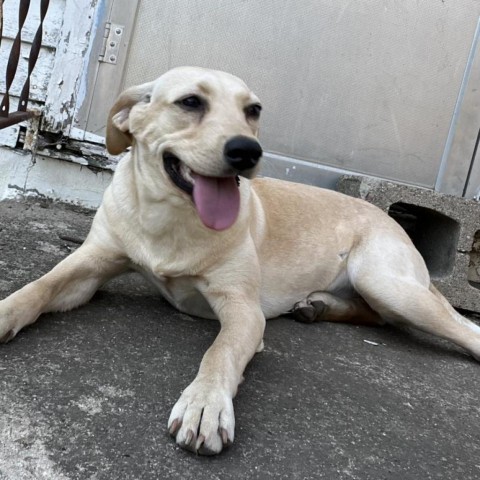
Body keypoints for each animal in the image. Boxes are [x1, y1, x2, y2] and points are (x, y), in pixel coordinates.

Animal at [0, 66, 480, 454]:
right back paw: (319, 305)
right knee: (377, 317)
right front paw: (5, 312)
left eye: (254, 110)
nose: (247, 151)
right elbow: (37, 287)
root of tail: (392, 220)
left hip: (387, 282)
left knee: (453, 326)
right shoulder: (89, 265)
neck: (170, 217)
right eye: (191, 102)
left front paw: (204, 405)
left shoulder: (244, 311)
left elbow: (220, 352)